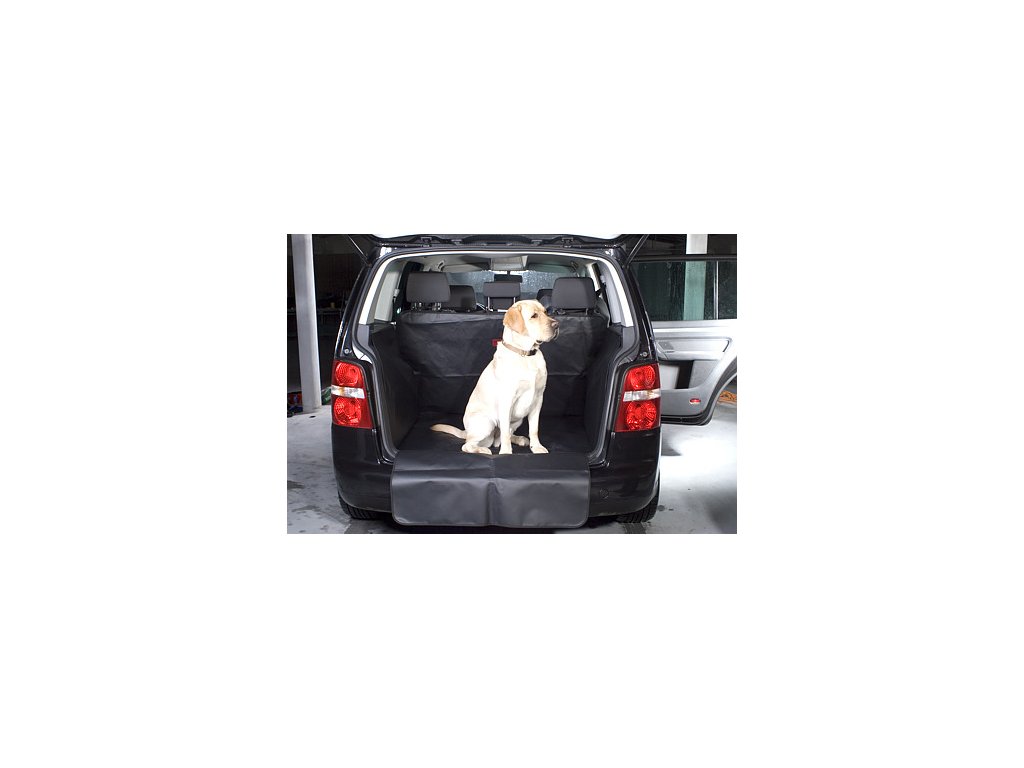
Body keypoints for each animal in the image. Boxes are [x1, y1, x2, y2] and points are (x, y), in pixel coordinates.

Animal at [431, 299, 559, 455]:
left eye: (546, 312)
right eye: (534, 316)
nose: (557, 324)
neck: (525, 355)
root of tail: (466, 431)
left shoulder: (538, 399)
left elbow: (534, 429)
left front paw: (537, 447)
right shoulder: (506, 400)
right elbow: (504, 433)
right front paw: (506, 453)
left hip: (517, 421)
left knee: (503, 436)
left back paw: (519, 439)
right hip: (487, 423)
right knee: (469, 444)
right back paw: (483, 450)